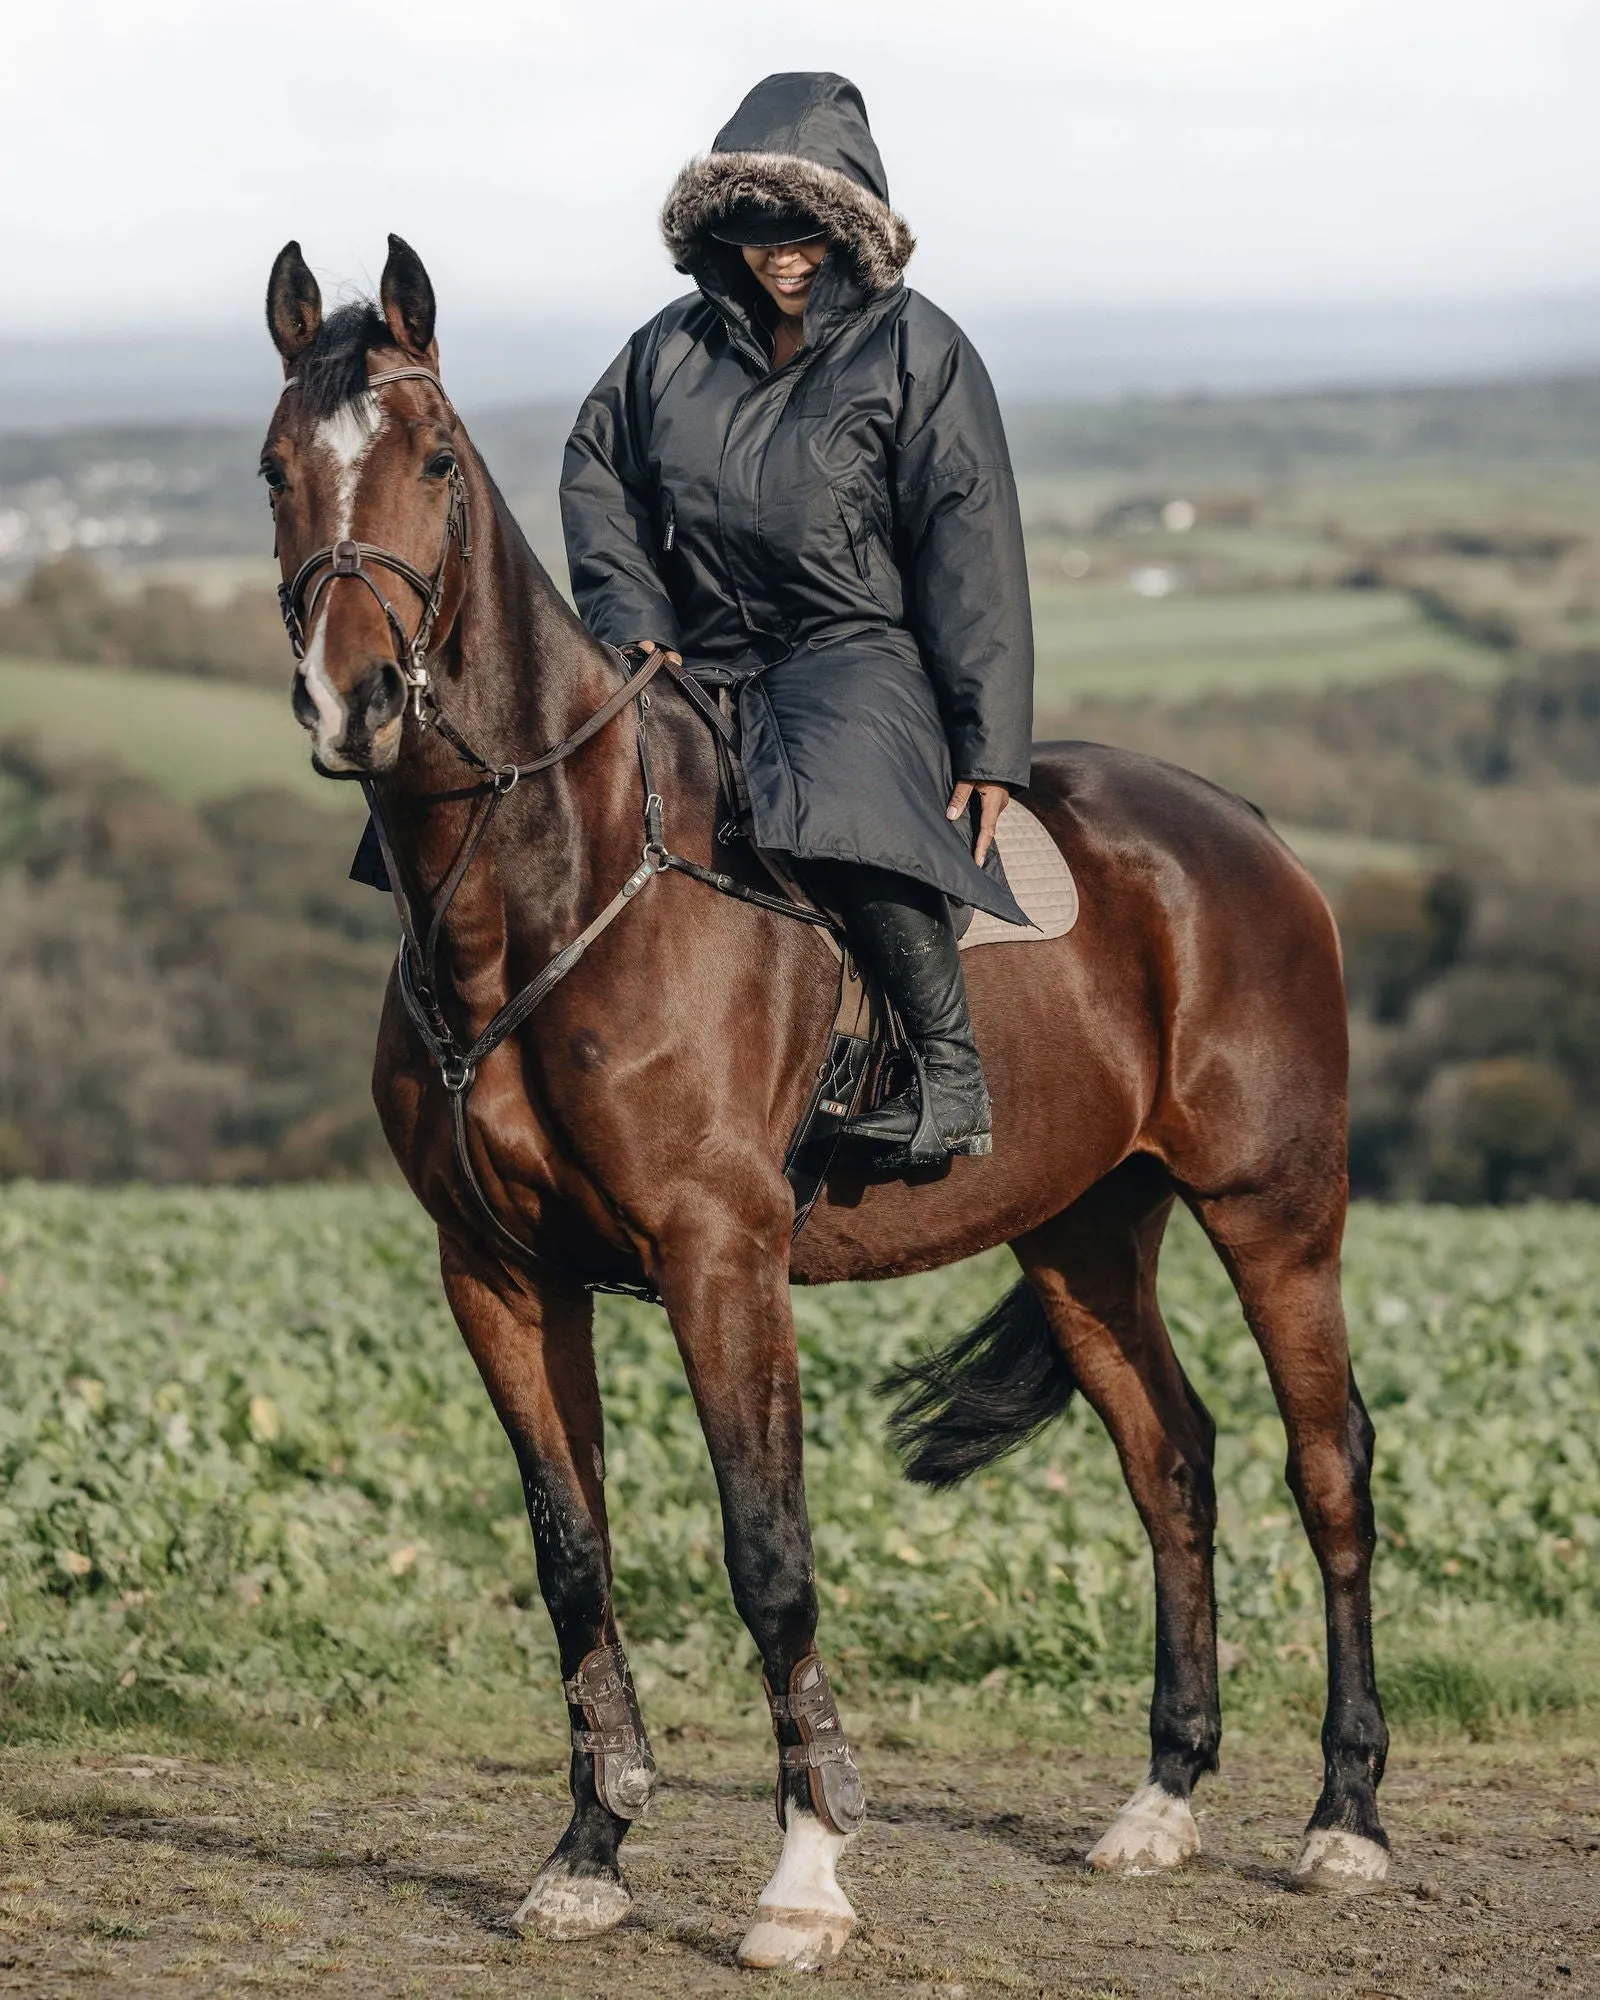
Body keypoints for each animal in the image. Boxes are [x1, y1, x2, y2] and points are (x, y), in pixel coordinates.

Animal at [262, 234, 1384, 1968]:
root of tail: (1247, 833)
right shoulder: (498, 1277)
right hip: (1081, 1235)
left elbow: (767, 1552)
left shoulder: (721, 1259)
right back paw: (1163, 1800)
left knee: (1327, 1464)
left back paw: (1343, 1820)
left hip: (1275, 1211)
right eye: (271, 471)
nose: (358, 699)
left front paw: (806, 1873)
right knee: (1172, 1462)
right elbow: (572, 1558)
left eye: (436, 459)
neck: (551, 884)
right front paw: (589, 1849)